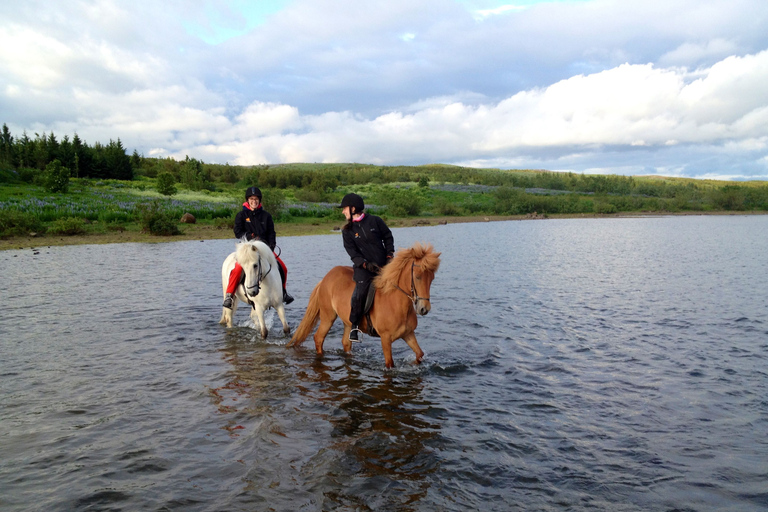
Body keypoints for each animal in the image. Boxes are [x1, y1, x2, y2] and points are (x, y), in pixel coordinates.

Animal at [286, 243, 444, 368]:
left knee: (346, 343)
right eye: (417, 276)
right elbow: (390, 364)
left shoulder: (408, 334)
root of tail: (325, 278)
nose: (424, 309)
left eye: (432, 278)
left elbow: (419, 354)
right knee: (318, 338)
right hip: (328, 317)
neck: (395, 303)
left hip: (348, 322)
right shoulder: (385, 339)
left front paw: (412, 364)